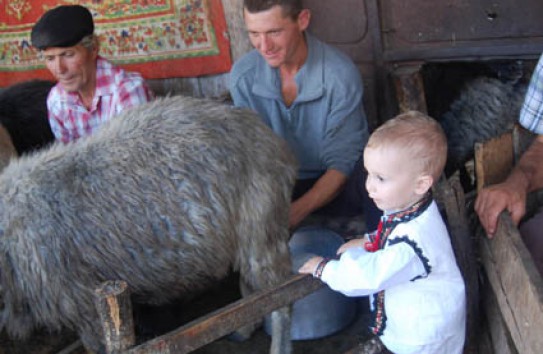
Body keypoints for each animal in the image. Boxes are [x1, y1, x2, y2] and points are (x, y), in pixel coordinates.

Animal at [0, 95, 298, 352]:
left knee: (280, 298)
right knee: (254, 291)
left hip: (261, 225)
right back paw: (243, 329)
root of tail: (264, 132)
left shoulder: (82, 302)